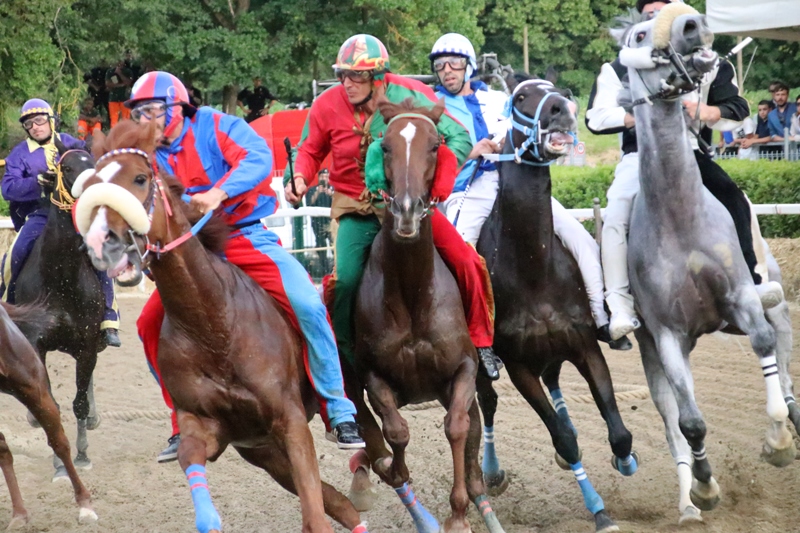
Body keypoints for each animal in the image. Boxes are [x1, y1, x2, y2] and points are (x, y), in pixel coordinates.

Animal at [12, 139, 108, 480]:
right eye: (66, 167)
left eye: (93, 162)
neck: (62, 277)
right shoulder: (37, 344)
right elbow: (48, 406)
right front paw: (59, 466)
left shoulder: (88, 343)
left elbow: (79, 401)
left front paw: (81, 454)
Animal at [346, 100, 504, 532]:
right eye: (384, 147)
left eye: (435, 146)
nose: (405, 210)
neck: (413, 296)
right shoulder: (372, 374)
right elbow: (396, 433)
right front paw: (394, 469)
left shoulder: (463, 368)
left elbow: (457, 428)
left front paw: (458, 513)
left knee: (472, 441)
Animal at [476, 79, 636, 532]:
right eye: (522, 97)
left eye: (558, 89)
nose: (563, 109)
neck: (533, 269)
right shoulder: (517, 366)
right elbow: (560, 437)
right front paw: (599, 509)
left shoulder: (584, 345)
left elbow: (617, 429)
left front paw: (625, 459)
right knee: (488, 403)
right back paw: (492, 471)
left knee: (555, 380)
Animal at [612, 3, 792, 524]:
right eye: (639, 34)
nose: (692, 24)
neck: (680, 218)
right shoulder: (668, 337)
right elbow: (690, 422)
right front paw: (706, 488)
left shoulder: (743, 300)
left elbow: (764, 345)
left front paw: (778, 439)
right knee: (672, 422)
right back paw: (687, 503)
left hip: (772, 300)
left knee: (783, 352)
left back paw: (790, 414)